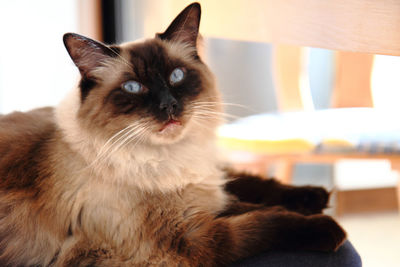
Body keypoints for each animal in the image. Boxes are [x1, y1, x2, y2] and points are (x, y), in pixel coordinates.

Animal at [0, 2, 346, 267]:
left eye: (176, 76)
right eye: (133, 87)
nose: (169, 106)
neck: (171, 160)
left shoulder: (209, 188)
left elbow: (256, 186)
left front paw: (313, 196)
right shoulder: (188, 238)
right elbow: (264, 221)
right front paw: (329, 228)